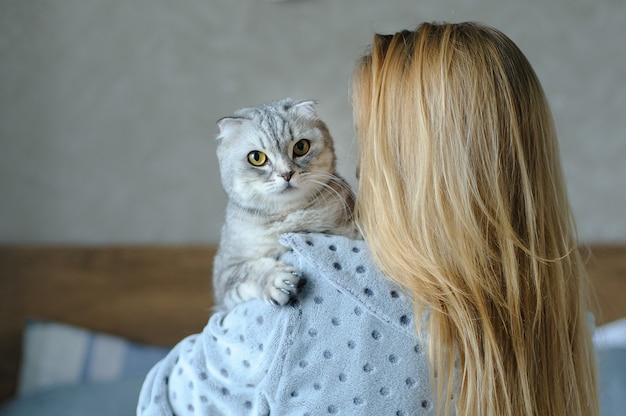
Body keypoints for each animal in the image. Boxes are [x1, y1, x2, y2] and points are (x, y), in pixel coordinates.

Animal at [212, 99, 356, 310]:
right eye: (256, 157)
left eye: (301, 147)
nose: (286, 174)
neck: (290, 217)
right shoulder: (224, 274)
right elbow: (247, 271)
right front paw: (276, 280)